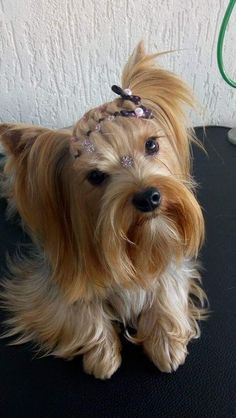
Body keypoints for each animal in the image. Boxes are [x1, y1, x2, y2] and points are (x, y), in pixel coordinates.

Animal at [0, 43, 206, 378]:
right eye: (96, 176)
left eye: (151, 145)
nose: (149, 197)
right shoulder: (54, 284)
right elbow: (80, 311)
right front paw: (102, 355)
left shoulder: (173, 264)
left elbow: (166, 288)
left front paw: (166, 345)